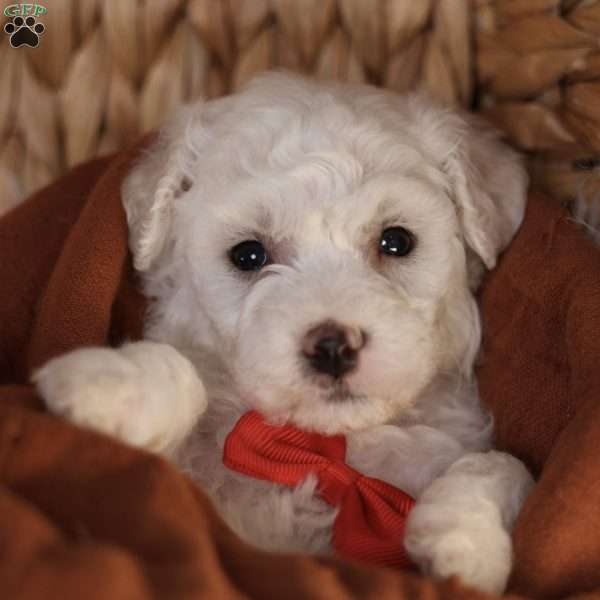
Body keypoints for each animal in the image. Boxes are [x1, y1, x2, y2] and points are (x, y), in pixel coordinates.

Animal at [35, 72, 536, 592]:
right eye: (248, 254)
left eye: (397, 241)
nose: (333, 347)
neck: (322, 450)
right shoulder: (187, 489)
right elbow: (180, 379)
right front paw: (111, 385)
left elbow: (507, 466)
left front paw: (464, 538)